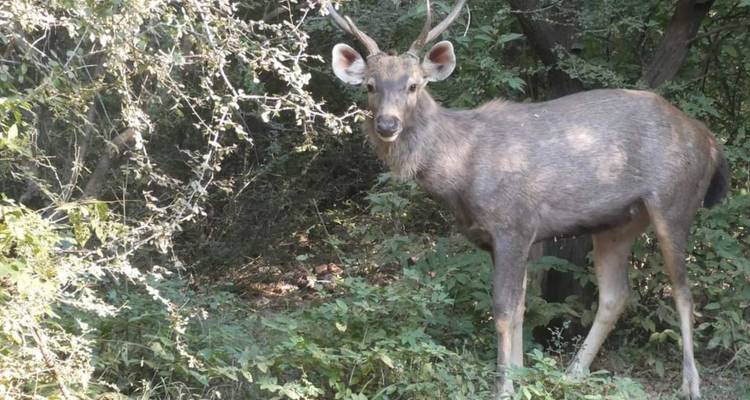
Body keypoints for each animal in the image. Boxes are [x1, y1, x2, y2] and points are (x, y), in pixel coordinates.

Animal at [325, 1, 729, 398]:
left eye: (413, 85)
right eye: (370, 86)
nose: (387, 125)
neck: (462, 170)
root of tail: (711, 141)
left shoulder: (514, 225)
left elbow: (504, 310)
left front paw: (504, 387)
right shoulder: (502, 237)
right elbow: (521, 307)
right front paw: (520, 377)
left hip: (674, 202)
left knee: (684, 292)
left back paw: (690, 384)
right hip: (617, 222)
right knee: (616, 294)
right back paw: (573, 373)